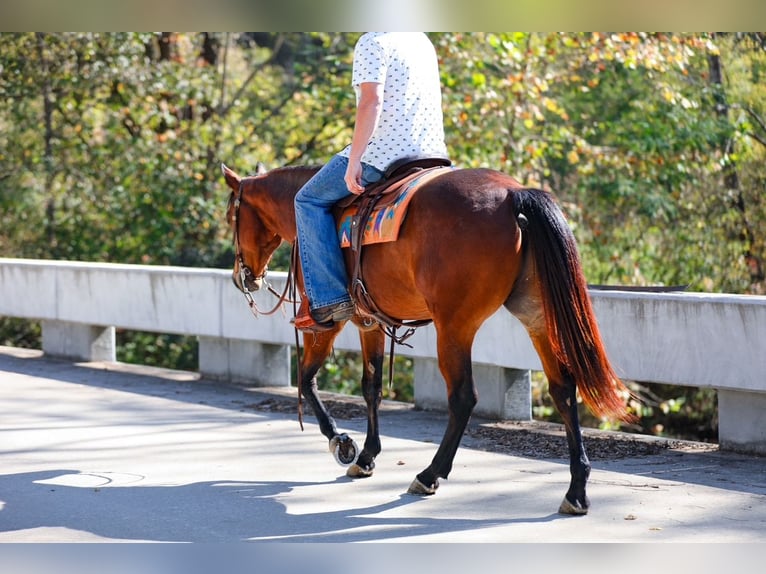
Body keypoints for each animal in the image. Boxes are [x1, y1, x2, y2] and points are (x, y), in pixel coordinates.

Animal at [221, 162, 633, 515]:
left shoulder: (327, 324)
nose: (242, 279)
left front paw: (342, 443)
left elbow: (307, 380)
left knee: (464, 397)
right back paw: (576, 491)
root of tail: (514, 195)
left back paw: (429, 475)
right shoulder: (370, 323)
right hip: (537, 315)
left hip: (454, 326)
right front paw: (367, 455)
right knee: (563, 388)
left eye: (230, 217)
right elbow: (371, 386)